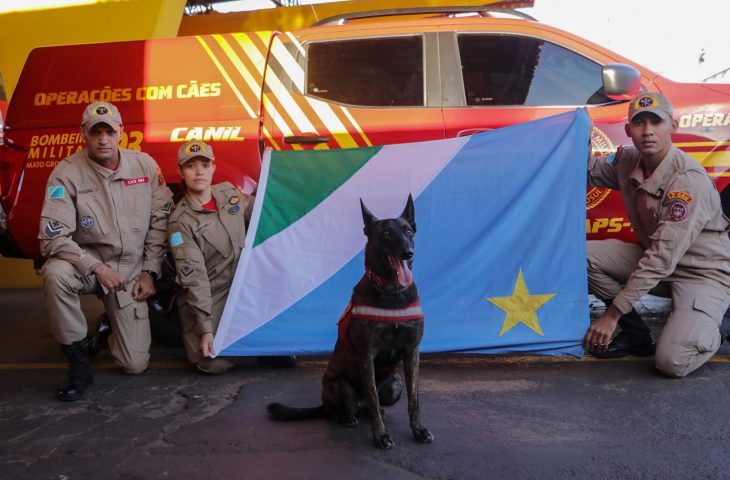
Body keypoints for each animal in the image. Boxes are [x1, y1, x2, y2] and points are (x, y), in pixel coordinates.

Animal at [268, 195, 430, 450]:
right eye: (386, 233)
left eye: (408, 231)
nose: (408, 252)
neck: (392, 292)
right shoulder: (367, 353)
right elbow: (372, 396)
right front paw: (380, 436)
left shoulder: (412, 351)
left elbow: (414, 399)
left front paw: (419, 430)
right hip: (340, 387)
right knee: (346, 409)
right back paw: (348, 418)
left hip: (395, 383)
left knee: (373, 404)